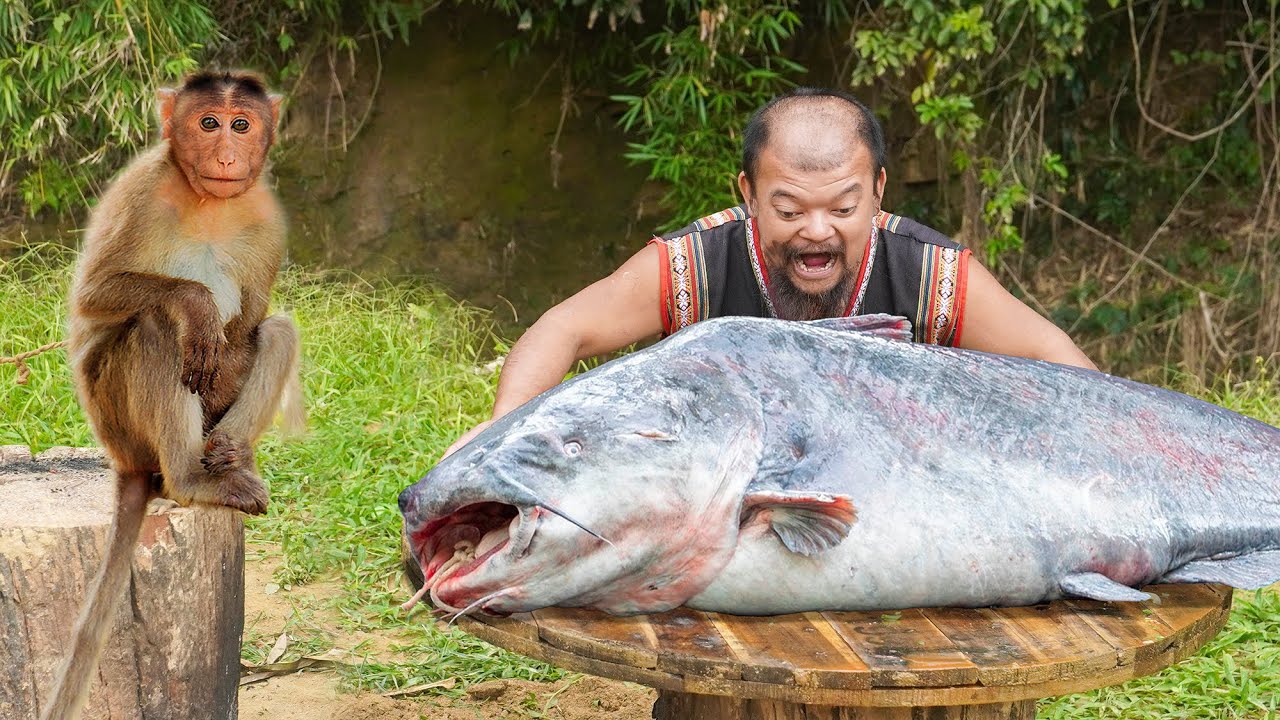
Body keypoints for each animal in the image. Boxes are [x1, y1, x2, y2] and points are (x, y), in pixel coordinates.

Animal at [41, 70, 304, 720]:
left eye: (241, 124)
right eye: (208, 123)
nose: (227, 155)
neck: (208, 203)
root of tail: (129, 462)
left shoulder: (267, 215)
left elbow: (250, 326)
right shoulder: (142, 189)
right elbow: (95, 295)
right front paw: (195, 302)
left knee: (276, 331)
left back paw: (230, 457)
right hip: (116, 417)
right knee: (157, 327)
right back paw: (191, 479)